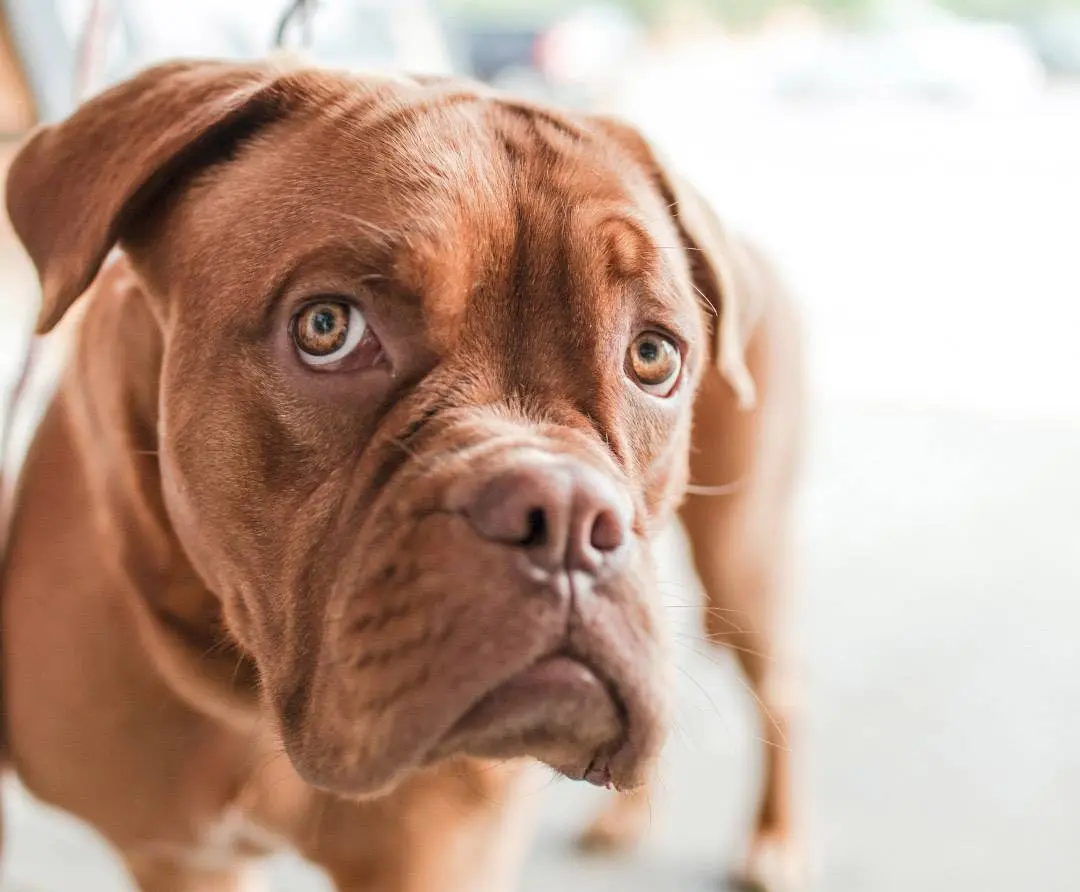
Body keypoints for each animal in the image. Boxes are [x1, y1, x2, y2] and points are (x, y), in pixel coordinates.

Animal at [0, 62, 803, 889]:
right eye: (326, 327)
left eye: (653, 356)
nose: (566, 513)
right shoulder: (181, 856)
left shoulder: (438, 854)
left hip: (743, 555)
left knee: (782, 690)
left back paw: (772, 842)